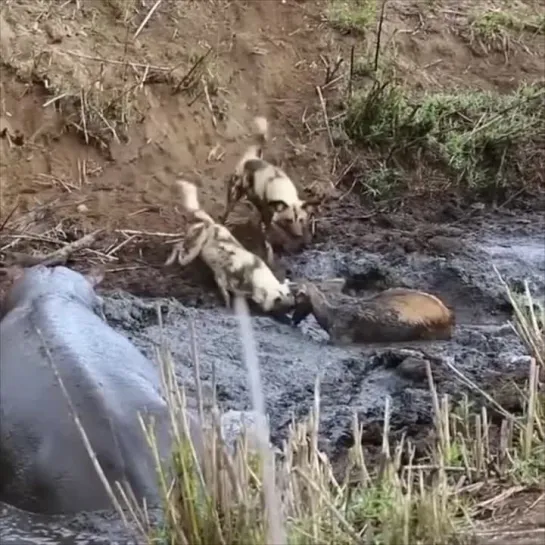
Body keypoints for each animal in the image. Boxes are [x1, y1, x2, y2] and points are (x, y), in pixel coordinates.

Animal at [165, 182, 296, 318]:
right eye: (279, 303)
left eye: (290, 297)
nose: (292, 309)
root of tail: (211, 224)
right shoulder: (221, 279)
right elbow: (227, 296)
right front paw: (228, 309)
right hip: (192, 251)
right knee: (179, 248)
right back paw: (168, 261)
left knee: (180, 244)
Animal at [221, 116, 320, 264]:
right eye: (288, 220)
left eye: (301, 220)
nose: (298, 235)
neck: (284, 193)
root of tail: (250, 158)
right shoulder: (270, 219)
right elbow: (272, 238)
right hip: (234, 196)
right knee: (227, 212)